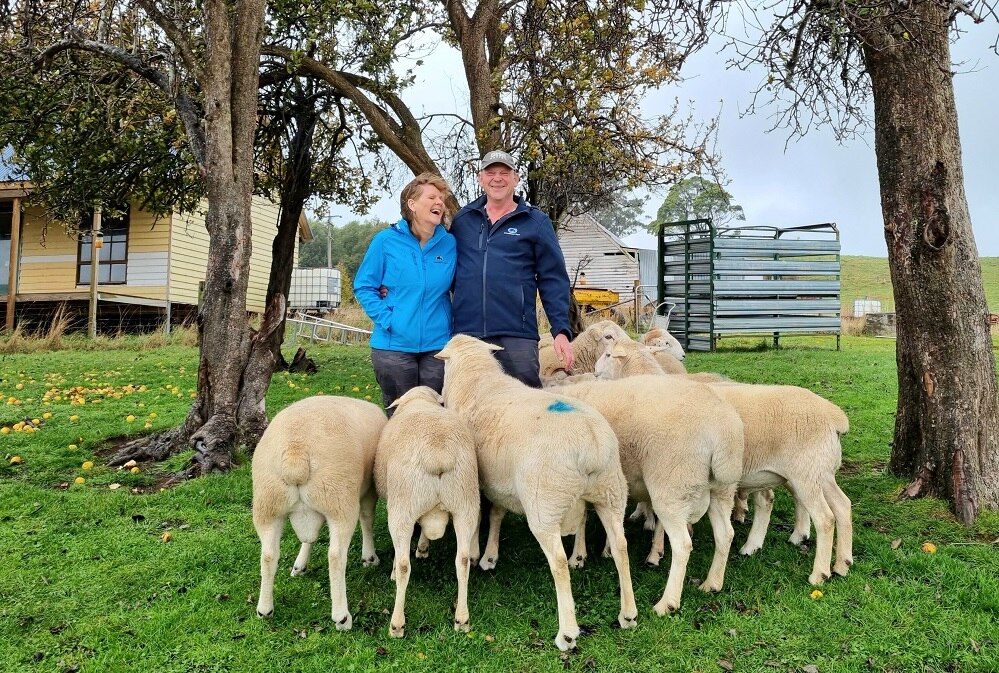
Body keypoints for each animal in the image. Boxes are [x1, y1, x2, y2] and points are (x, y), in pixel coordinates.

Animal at [252, 396, 387, 630]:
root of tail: (296, 453)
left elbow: (310, 538)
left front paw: (300, 564)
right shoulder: (369, 489)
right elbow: (367, 519)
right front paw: (369, 557)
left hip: (267, 504)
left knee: (268, 555)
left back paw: (264, 609)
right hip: (339, 500)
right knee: (336, 556)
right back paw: (342, 616)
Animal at [374, 386, 480, 638]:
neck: (420, 400)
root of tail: (438, 453)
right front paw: (423, 547)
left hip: (402, 506)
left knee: (405, 564)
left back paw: (397, 624)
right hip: (466, 504)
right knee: (463, 560)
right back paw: (462, 619)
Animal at [435, 334, 637, 650]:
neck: (476, 379)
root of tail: (591, 442)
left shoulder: (476, 480)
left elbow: (481, 515)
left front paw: (479, 551)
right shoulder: (503, 482)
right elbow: (497, 514)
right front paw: (490, 555)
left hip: (545, 503)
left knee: (558, 563)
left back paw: (567, 633)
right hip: (611, 492)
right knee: (621, 547)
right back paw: (628, 614)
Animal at [555, 375, 745, 615]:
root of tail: (723, 431)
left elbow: (582, 519)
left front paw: (578, 557)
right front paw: (603, 549)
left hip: (672, 484)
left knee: (683, 545)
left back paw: (667, 603)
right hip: (721, 489)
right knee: (725, 534)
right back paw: (712, 583)